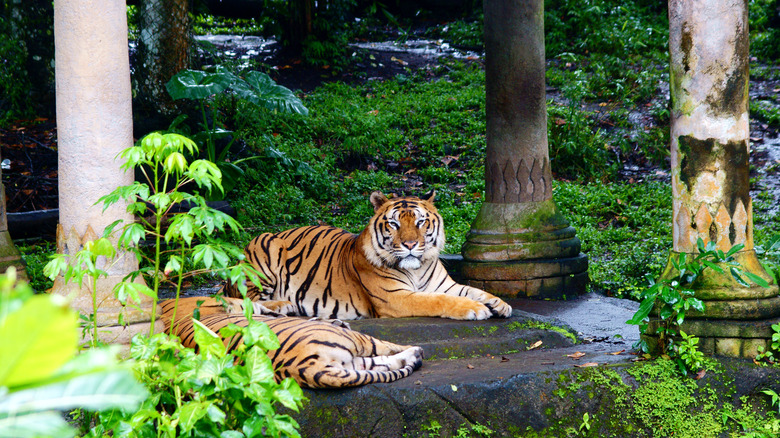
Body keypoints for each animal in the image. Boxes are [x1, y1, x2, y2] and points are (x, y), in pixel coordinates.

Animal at [161, 296, 424, 388]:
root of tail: (303, 367)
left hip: (349, 364)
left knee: (381, 362)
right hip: (354, 343)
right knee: (386, 347)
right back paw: (418, 351)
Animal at [225, 190, 512, 320]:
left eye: (420, 222)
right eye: (394, 224)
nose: (410, 244)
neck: (417, 268)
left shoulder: (445, 284)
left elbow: (472, 290)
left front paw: (499, 304)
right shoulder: (396, 298)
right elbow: (438, 301)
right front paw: (475, 309)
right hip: (264, 247)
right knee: (247, 301)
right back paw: (282, 305)